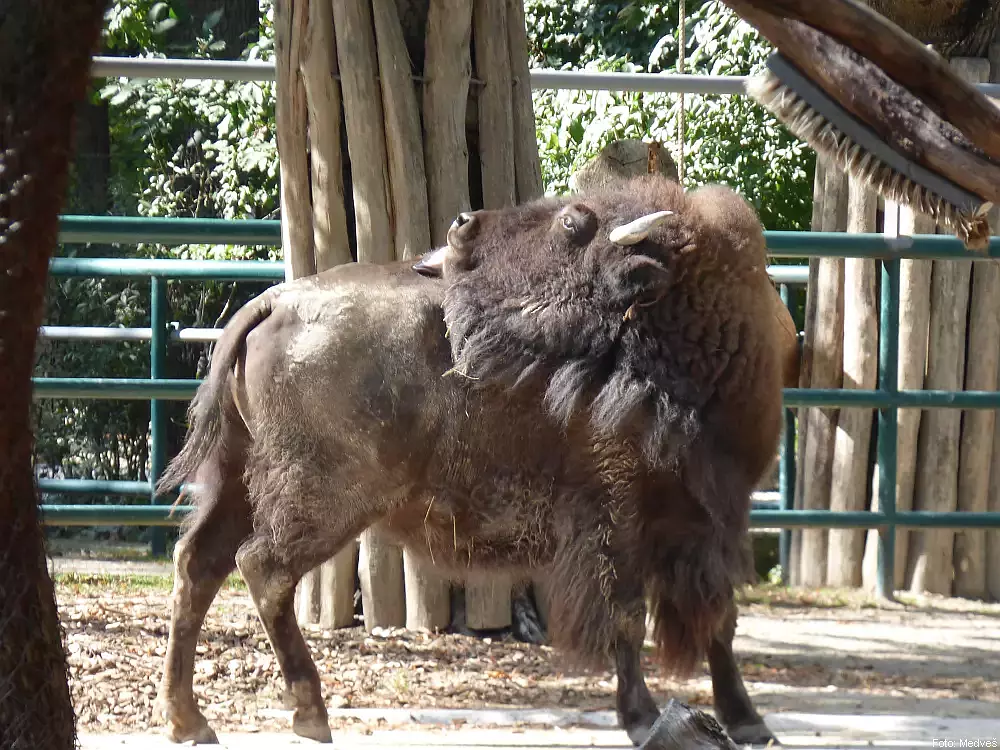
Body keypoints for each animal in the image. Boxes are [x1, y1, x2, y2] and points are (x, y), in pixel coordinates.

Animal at [152, 175, 784, 748]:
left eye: (571, 223)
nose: (461, 225)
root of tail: (275, 301)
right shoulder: (619, 518)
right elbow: (629, 618)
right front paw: (646, 717)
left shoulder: (714, 518)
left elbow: (722, 620)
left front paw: (748, 722)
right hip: (326, 497)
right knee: (262, 567)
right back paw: (310, 716)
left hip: (237, 482)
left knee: (198, 564)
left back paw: (191, 723)